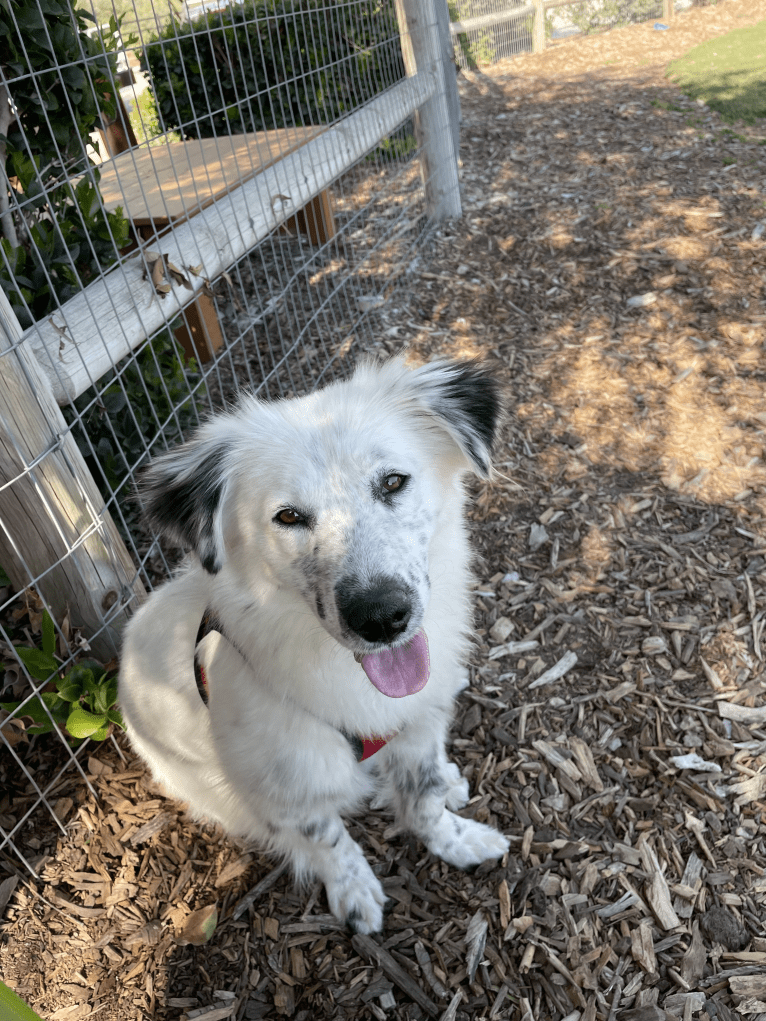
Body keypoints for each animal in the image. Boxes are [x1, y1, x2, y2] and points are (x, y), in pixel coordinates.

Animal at [120, 359, 510, 935]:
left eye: (393, 481)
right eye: (288, 516)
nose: (381, 616)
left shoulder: (419, 725)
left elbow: (424, 799)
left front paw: (455, 841)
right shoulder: (289, 789)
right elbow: (329, 842)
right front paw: (355, 893)